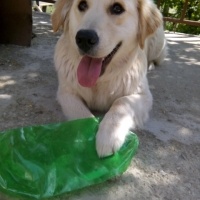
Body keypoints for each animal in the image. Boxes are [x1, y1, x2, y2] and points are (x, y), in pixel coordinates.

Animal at [51, 0, 167, 157]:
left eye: (117, 8)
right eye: (82, 5)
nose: (84, 38)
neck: (99, 80)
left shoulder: (143, 95)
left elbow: (121, 103)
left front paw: (109, 136)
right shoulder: (66, 93)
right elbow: (82, 115)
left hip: (157, 45)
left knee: (157, 58)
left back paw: (151, 65)